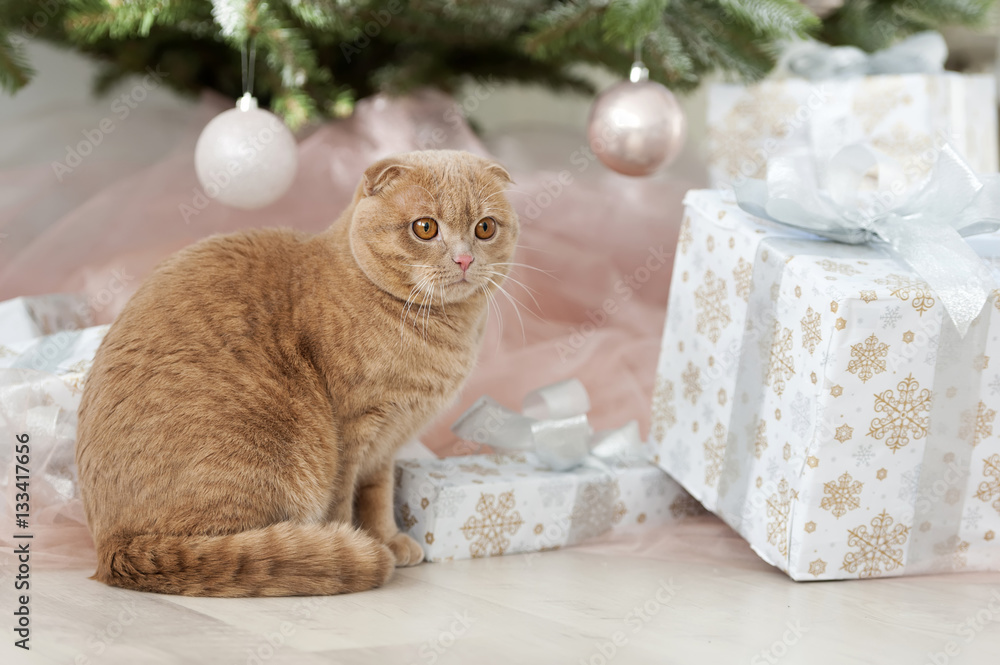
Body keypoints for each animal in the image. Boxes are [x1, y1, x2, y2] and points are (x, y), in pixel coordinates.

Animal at [74, 149, 520, 596]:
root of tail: (113, 550)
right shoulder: (352, 431)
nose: (464, 259)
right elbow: (343, 497)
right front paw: (357, 539)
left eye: (484, 228)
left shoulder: (385, 447)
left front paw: (386, 537)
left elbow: (377, 496)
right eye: (425, 228)